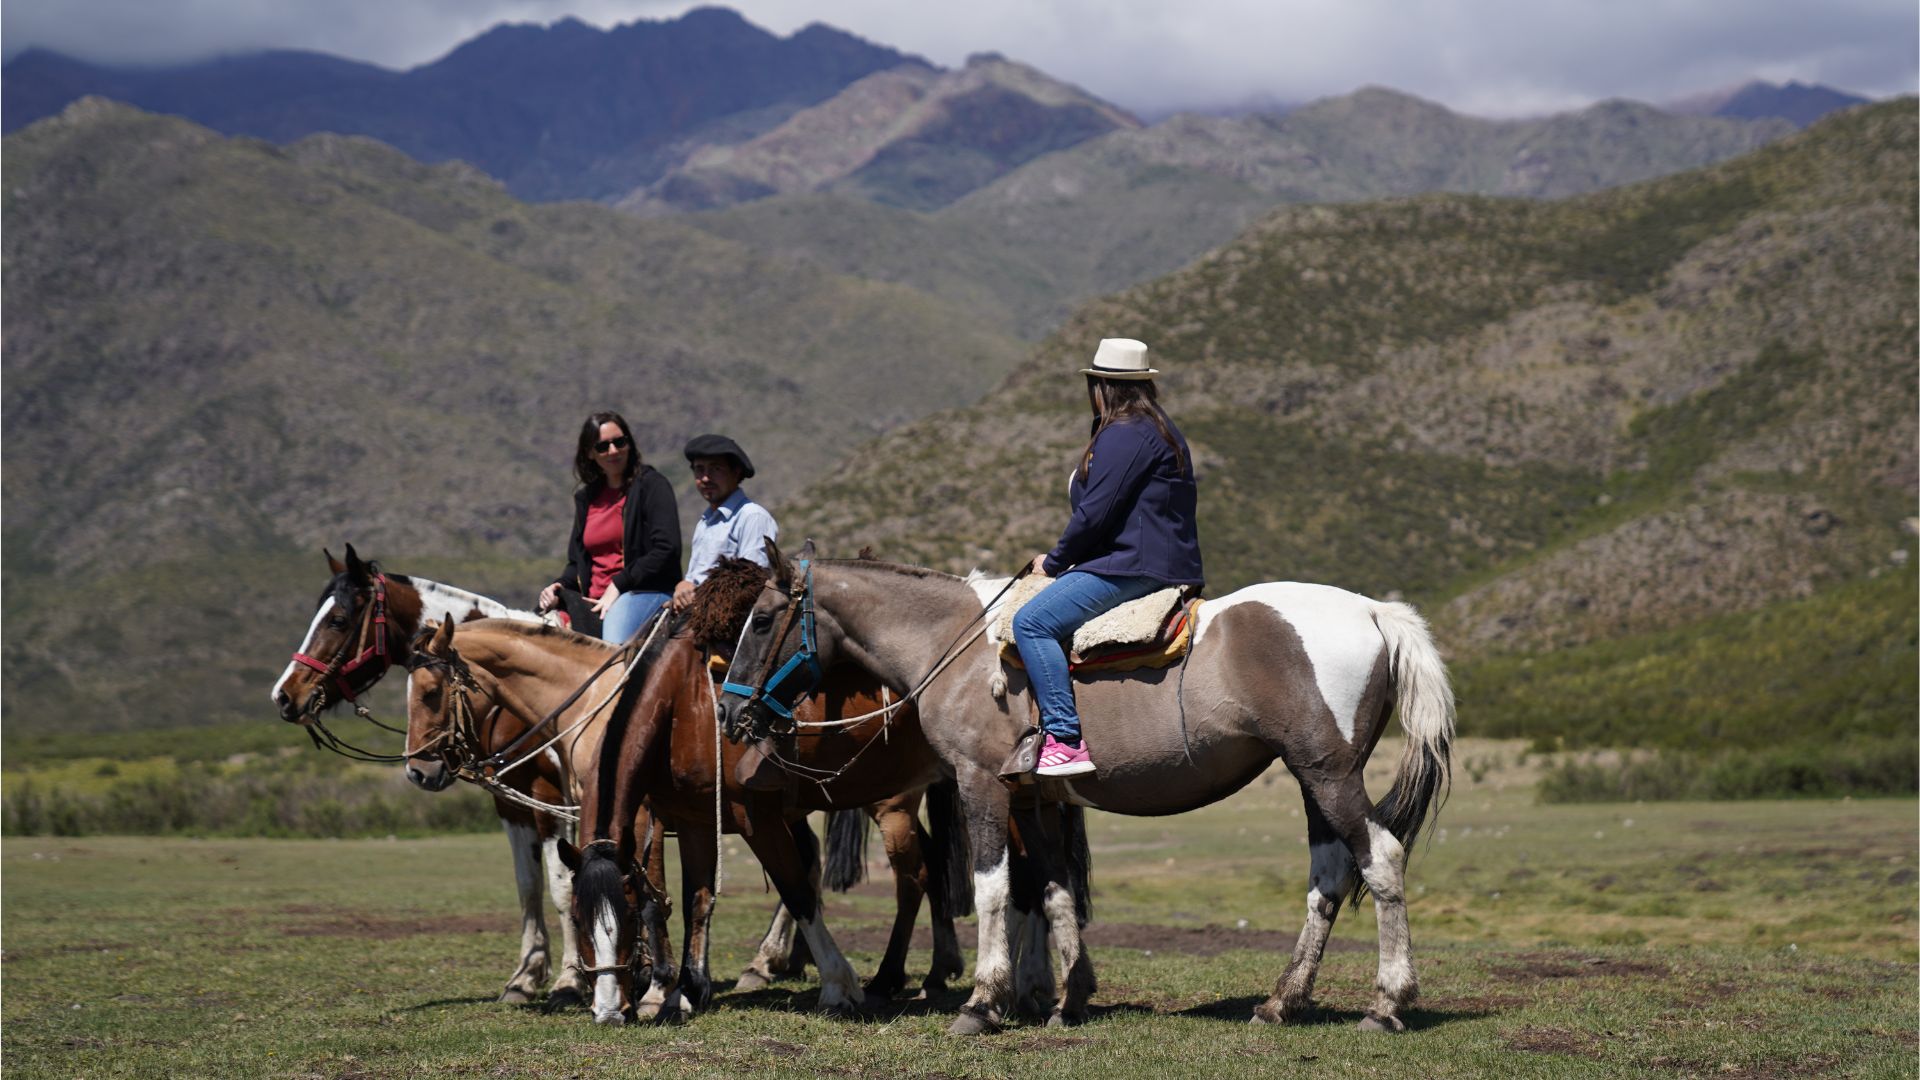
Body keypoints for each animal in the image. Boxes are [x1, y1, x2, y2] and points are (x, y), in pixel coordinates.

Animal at [721, 541, 1451, 1030]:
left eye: (762, 619)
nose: (730, 713)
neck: (956, 646)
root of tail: (1374, 612)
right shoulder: (1032, 797)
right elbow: (1052, 891)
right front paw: (1067, 999)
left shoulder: (980, 785)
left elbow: (992, 889)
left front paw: (984, 1002)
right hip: (1311, 779)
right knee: (1328, 876)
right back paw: (1281, 1001)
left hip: (1329, 775)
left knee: (1381, 860)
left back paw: (1387, 1002)